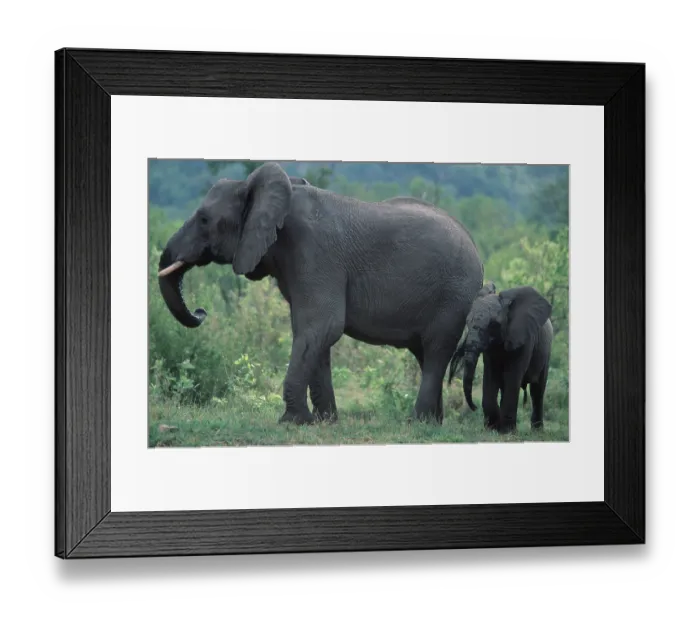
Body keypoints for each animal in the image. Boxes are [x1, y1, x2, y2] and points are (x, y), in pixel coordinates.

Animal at [157, 162, 484, 425]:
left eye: (203, 219)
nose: (201, 312)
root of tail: (475, 246)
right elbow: (313, 333)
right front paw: (324, 422)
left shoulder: (314, 252)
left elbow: (321, 326)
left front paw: (291, 422)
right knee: (425, 354)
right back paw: (434, 422)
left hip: (455, 295)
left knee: (436, 348)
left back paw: (418, 423)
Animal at [447, 283, 553, 434]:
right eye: (467, 322)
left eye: (493, 325)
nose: (474, 408)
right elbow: (491, 375)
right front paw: (492, 428)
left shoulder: (524, 339)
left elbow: (513, 376)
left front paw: (507, 431)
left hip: (546, 352)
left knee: (537, 390)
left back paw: (537, 431)